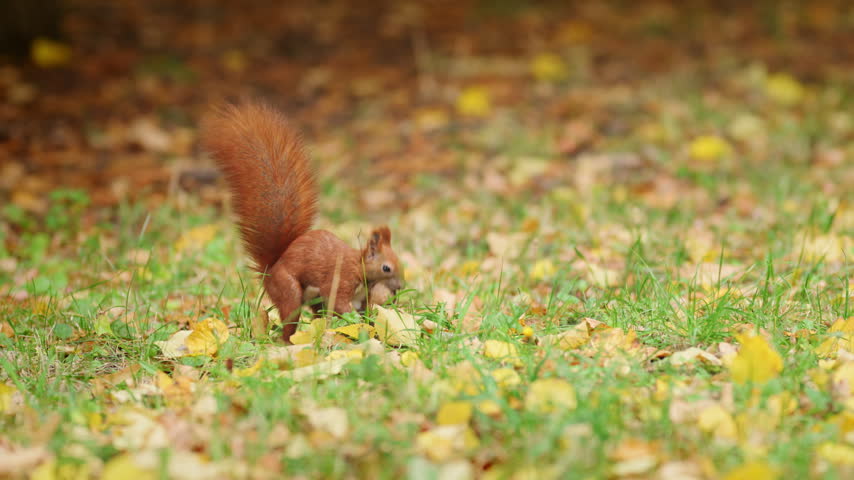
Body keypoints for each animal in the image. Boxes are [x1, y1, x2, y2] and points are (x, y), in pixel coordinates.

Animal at [201, 102, 404, 342]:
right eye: (386, 267)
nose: (400, 287)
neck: (360, 268)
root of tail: (271, 269)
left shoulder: (363, 295)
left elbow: (365, 310)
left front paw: (370, 324)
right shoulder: (340, 280)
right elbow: (339, 303)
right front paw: (354, 320)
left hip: (313, 300)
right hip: (289, 289)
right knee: (291, 314)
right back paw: (287, 341)